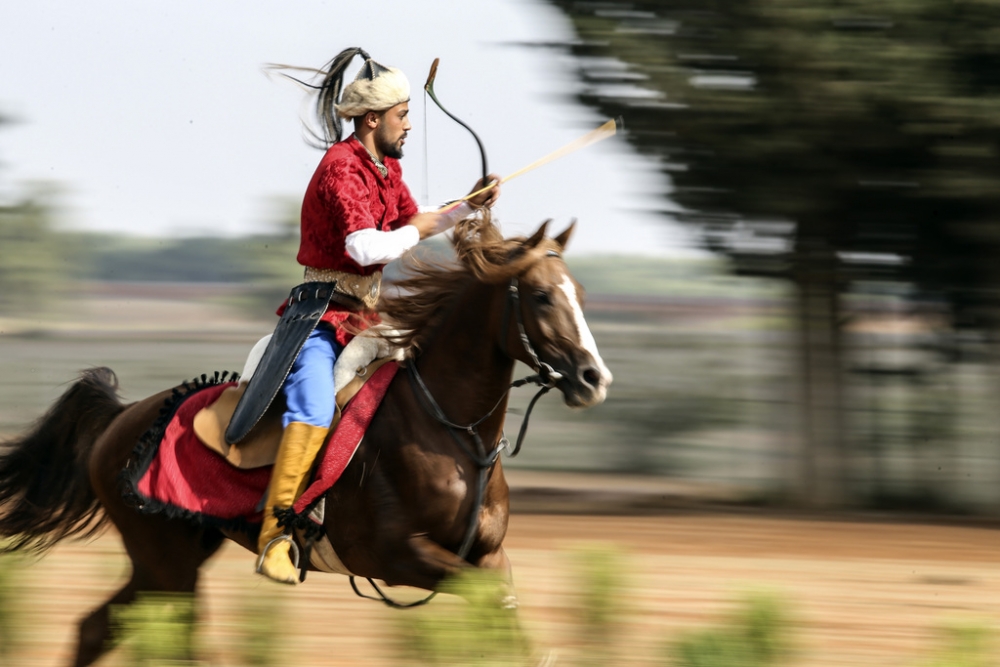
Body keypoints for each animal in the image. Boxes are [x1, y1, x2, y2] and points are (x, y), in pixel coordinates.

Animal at [0, 217, 608, 664]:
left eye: (578, 292)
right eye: (541, 296)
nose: (592, 377)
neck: (451, 436)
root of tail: (123, 418)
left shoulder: (488, 556)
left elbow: (506, 615)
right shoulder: (400, 553)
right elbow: (491, 602)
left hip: (169, 561)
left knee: (96, 628)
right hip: (167, 566)